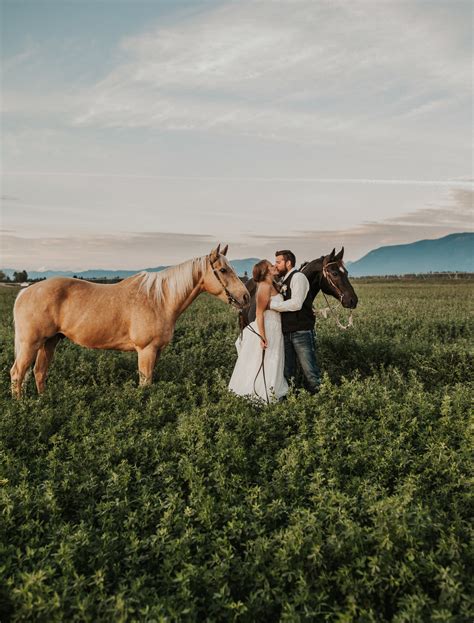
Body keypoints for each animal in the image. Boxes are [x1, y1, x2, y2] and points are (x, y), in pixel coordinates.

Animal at [11, 246, 250, 398]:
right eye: (223, 270)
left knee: (39, 372)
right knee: (17, 373)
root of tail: (24, 292)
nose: (246, 297)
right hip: (30, 344)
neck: (160, 299)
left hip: (49, 342)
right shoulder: (146, 350)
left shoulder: (156, 351)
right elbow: (145, 383)